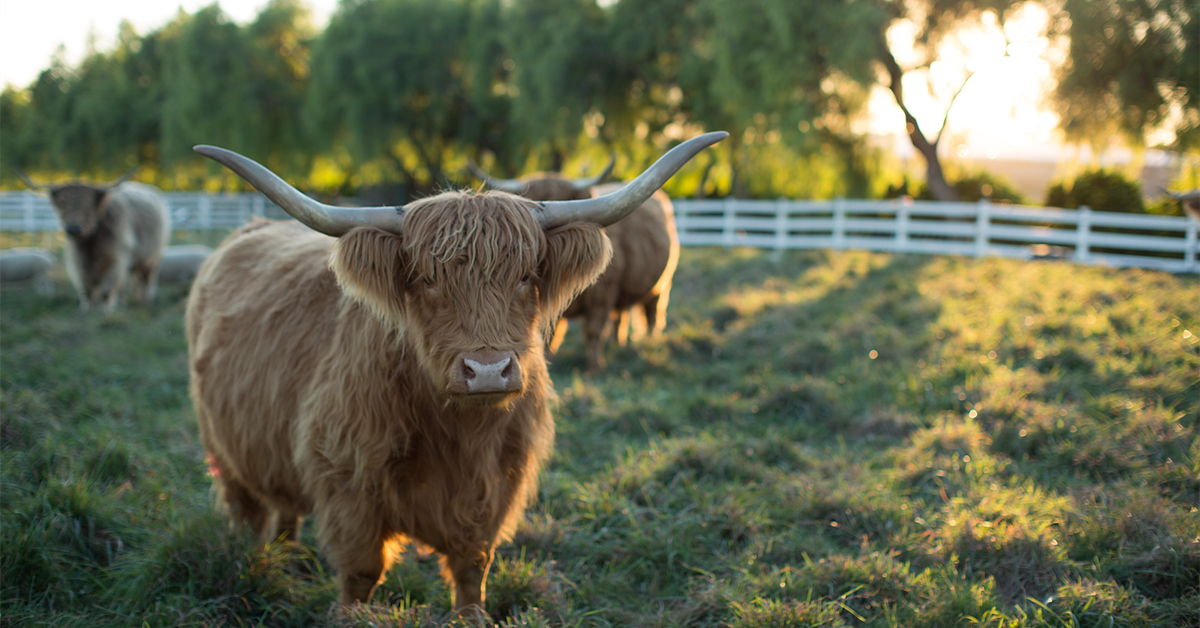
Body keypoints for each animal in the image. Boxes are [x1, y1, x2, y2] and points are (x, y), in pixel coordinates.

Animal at [15, 168, 171, 312]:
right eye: (62, 202)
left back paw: (147, 302)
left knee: (148, 279)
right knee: (131, 280)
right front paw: (87, 310)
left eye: (88, 204)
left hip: (152, 257)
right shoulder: (78, 261)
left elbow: (106, 290)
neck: (90, 245)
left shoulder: (115, 258)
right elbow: (87, 288)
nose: (73, 229)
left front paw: (105, 311)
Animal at [465, 158, 676, 374]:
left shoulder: (601, 298)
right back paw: (617, 344)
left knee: (652, 314)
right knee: (620, 316)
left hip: (662, 284)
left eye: (565, 199)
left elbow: (593, 332)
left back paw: (649, 345)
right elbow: (549, 334)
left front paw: (594, 367)